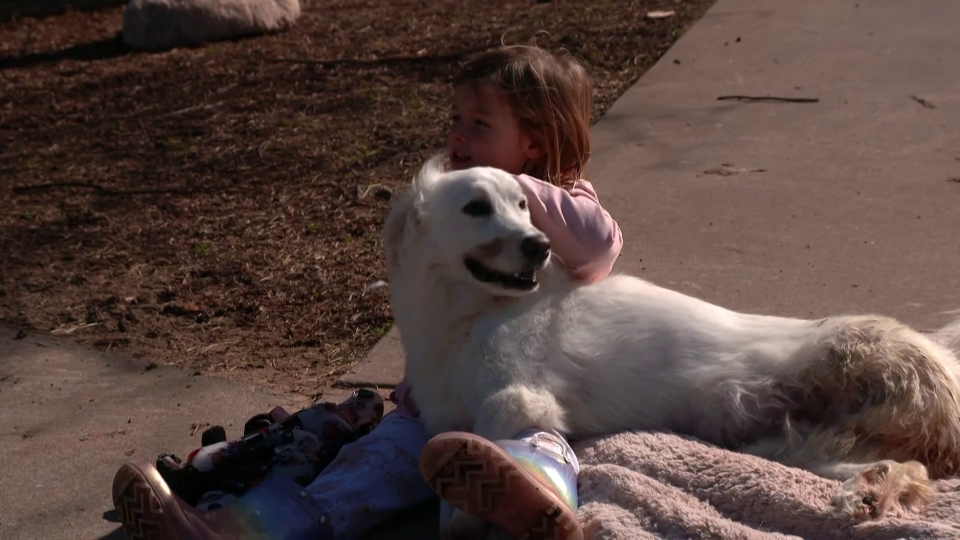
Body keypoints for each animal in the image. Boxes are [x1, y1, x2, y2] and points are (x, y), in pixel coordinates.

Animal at [380, 155, 960, 524]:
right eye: (476, 207)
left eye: (523, 204)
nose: (540, 245)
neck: (463, 315)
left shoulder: (522, 398)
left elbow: (478, 434)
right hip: (793, 445)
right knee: (911, 471)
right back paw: (865, 495)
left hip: (843, 358)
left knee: (916, 469)